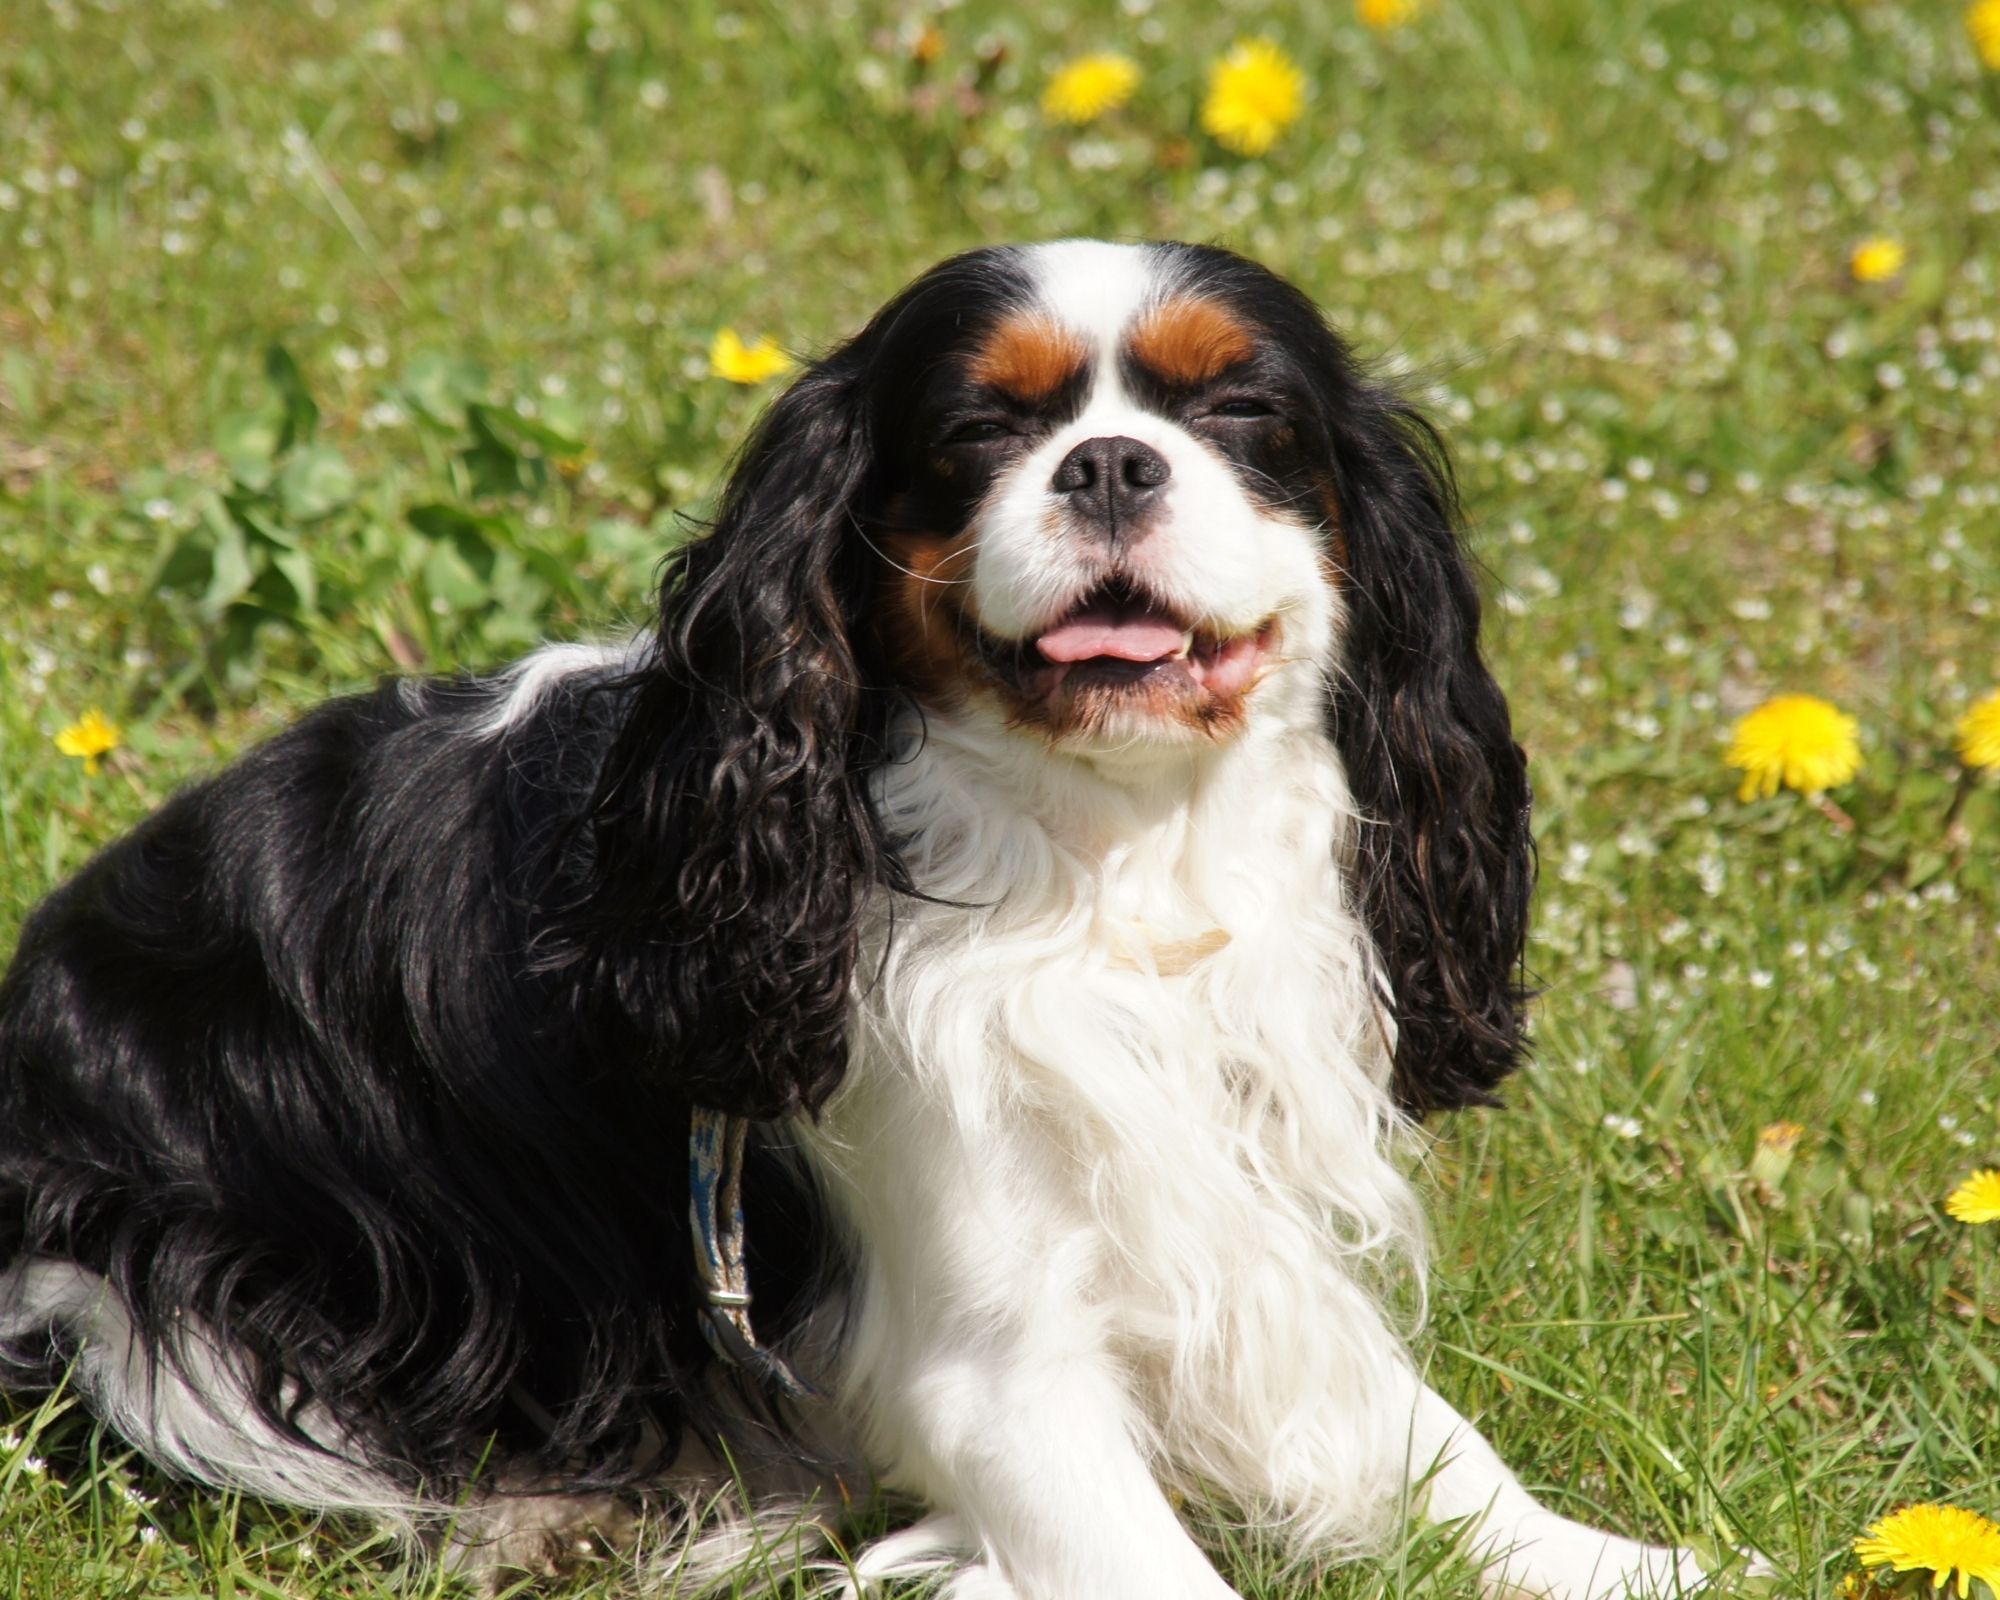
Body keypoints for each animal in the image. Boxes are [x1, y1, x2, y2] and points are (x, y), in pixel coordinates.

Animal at [0, 241, 1720, 1600]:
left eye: (1241, 415)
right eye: (977, 430)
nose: (1110, 463)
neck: (1110, 855)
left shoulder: (1229, 1220)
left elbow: (1423, 1434)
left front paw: (1616, 1559)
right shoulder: (993, 1364)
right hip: (146, 1287)